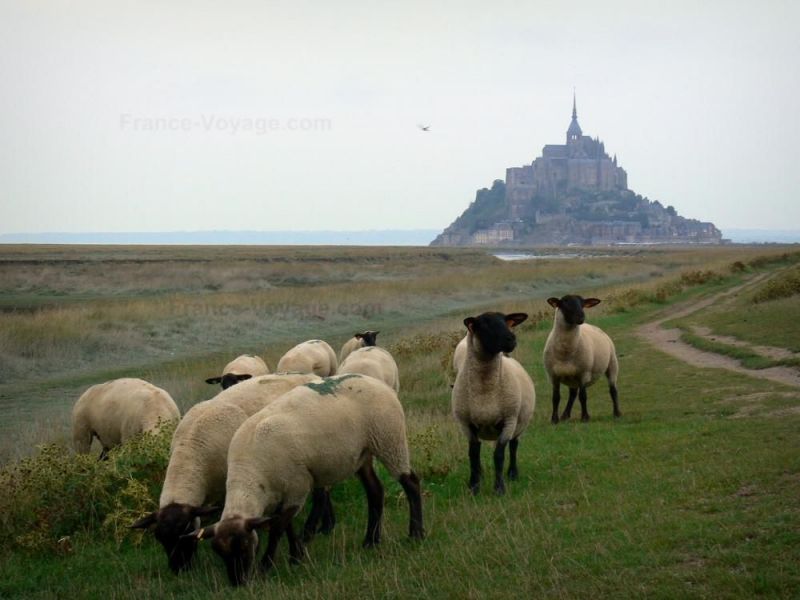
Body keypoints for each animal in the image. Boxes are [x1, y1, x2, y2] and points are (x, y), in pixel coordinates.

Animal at [130, 372, 334, 576]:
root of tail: (312, 375)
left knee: (322, 494)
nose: (178, 569)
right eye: (159, 538)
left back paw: (320, 528)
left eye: (183, 531)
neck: (192, 449)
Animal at [187, 376, 424, 584]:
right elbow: (287, 525)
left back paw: (415, 534)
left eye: (244, 546)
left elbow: (278, 528)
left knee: (411, 483)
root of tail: (377, 382)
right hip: (363, 453)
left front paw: (268, 564)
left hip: (390, 439)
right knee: (375, 491)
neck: (250, 476)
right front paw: (295, 556)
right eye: (219, 553)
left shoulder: (297, 485)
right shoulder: (281, 493)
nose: (238, 583)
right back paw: (370, 541)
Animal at [450, 312, 536, 494]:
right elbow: (473, 454)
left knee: (514, 445)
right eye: (484, 324)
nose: (511, 338)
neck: (485, 390)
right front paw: (474, 486)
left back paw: (512, 473)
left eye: (507, 322)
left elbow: (499, 455)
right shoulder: (466, 424)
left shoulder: (509, 421)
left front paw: (499, 488)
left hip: (519, 424)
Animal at [540, 294, 620, 424]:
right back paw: (565, 415)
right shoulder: (553, 376)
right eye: (565, 303)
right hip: (572, 377)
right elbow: (556, 397)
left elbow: (583, 396)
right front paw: (554, 419)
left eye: (582, 304)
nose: (581, 317)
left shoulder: (584, 373)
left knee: (613, 389)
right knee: (572, 394)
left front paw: (585, 417)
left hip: (612, 363)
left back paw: (617, 413)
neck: (565, 352)